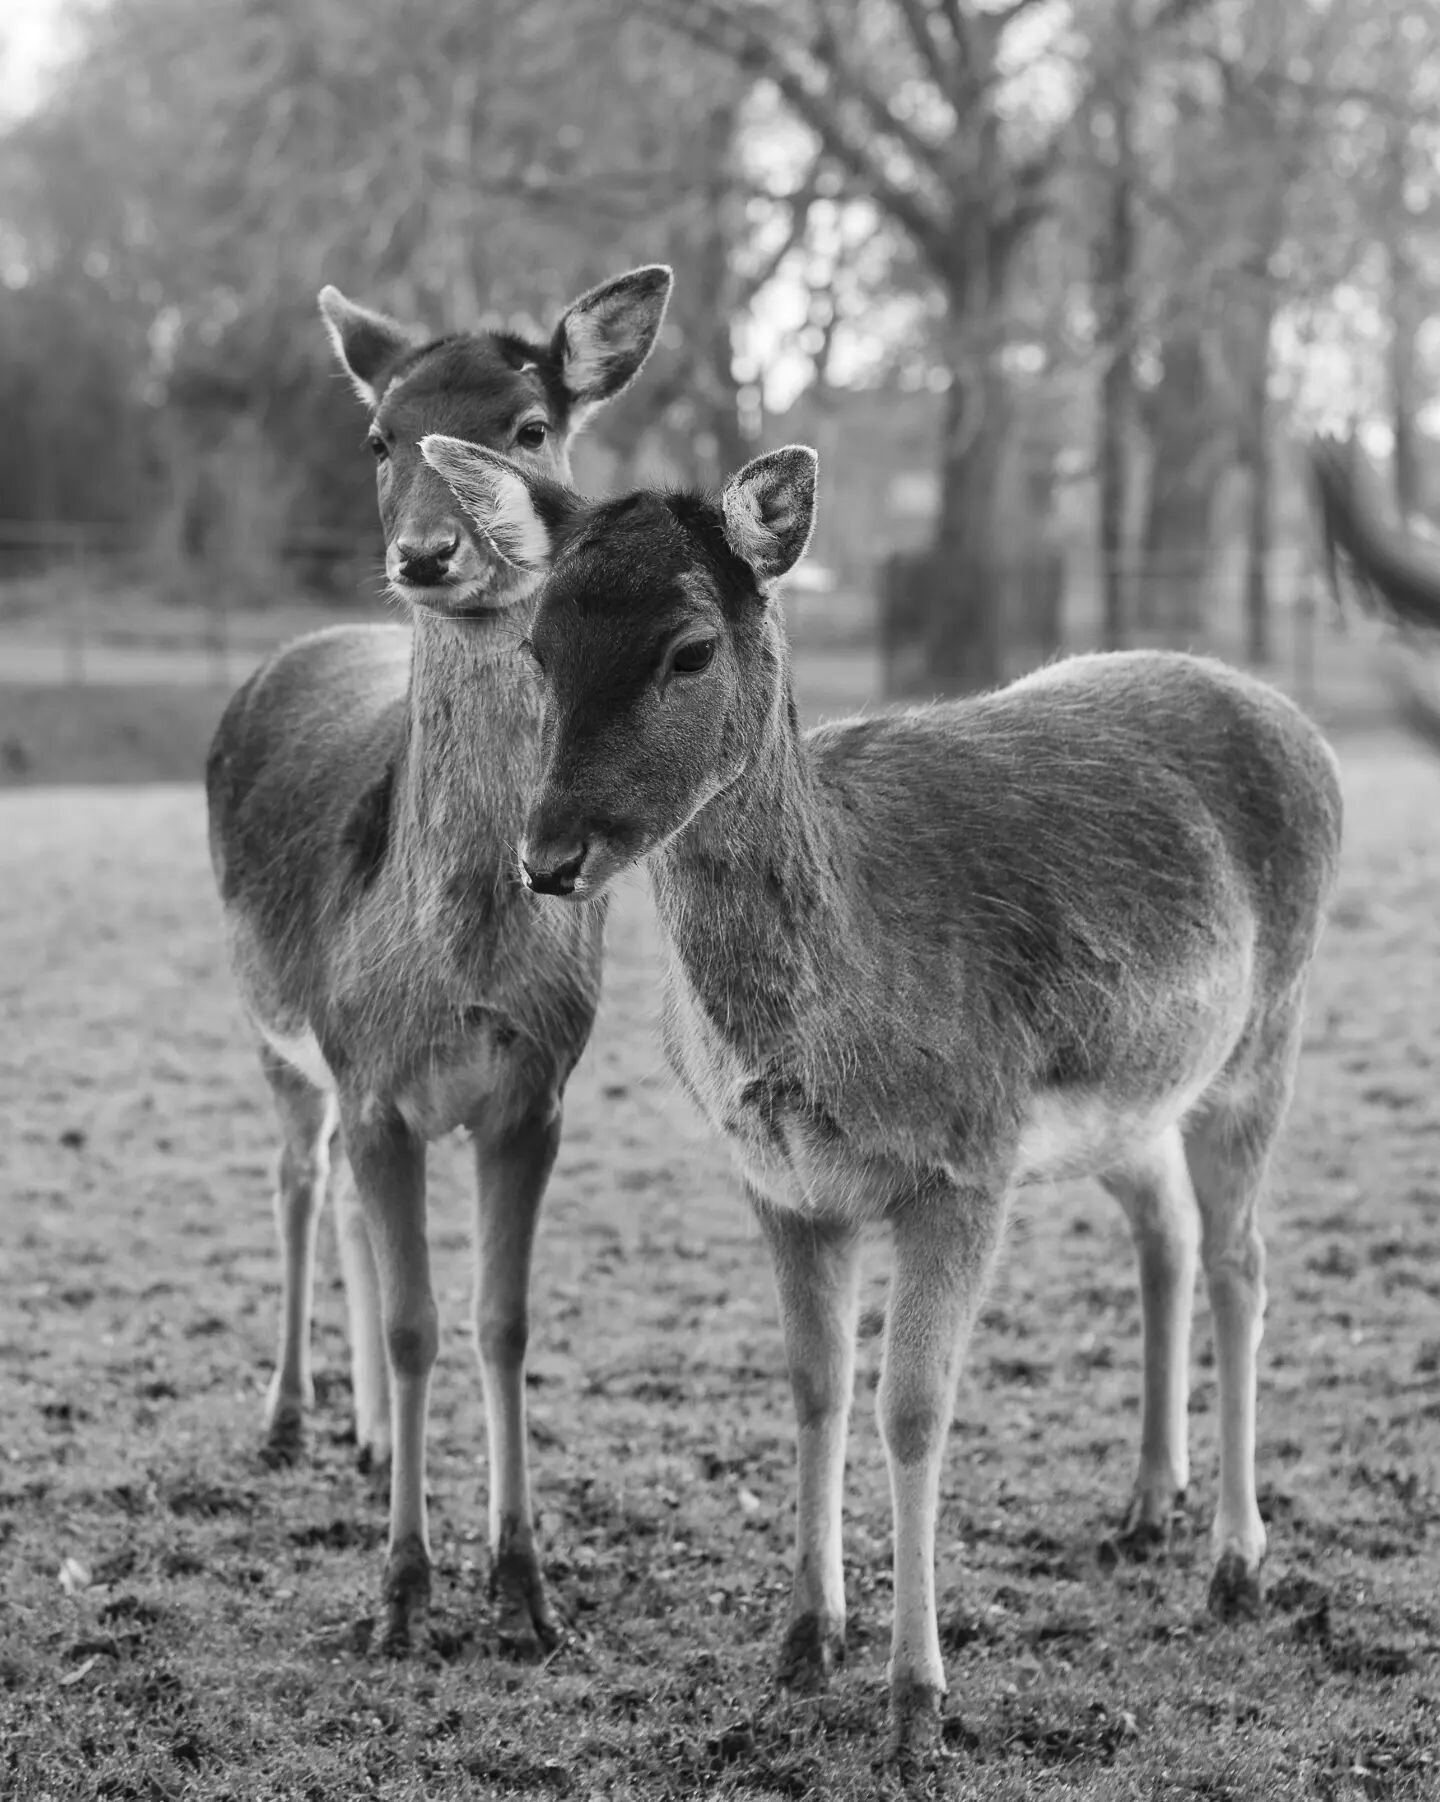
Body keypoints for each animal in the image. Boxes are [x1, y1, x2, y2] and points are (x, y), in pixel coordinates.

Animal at [204, 263, 677, 1657]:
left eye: (527, 428)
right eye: (378, 438)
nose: (424, 554)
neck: (464, 958)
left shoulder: (535, 1088)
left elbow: (499, 1323)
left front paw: (524, 1588)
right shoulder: (369, 1071)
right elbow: (420, 1325)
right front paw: (402, 1594)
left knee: (353, 1220)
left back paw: (365, 1439)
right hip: (274, 1021)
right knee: (298, 1180)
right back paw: (293, 1416)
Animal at [419, 432, 1355, 1758]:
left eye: (689, 648)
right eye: (537, 648)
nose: (547, 855)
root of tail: (1303, 728)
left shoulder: (964, 1158)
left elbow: (913, 1408)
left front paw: (919, 1698)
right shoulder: (779, 1179)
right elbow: (814, 1387)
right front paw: (804, 1641)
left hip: (1267, 1032)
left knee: (1245, 1260)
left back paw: (1236, 1561)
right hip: (1126, 1097)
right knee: (1167, 1229)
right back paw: (1146, 1502)